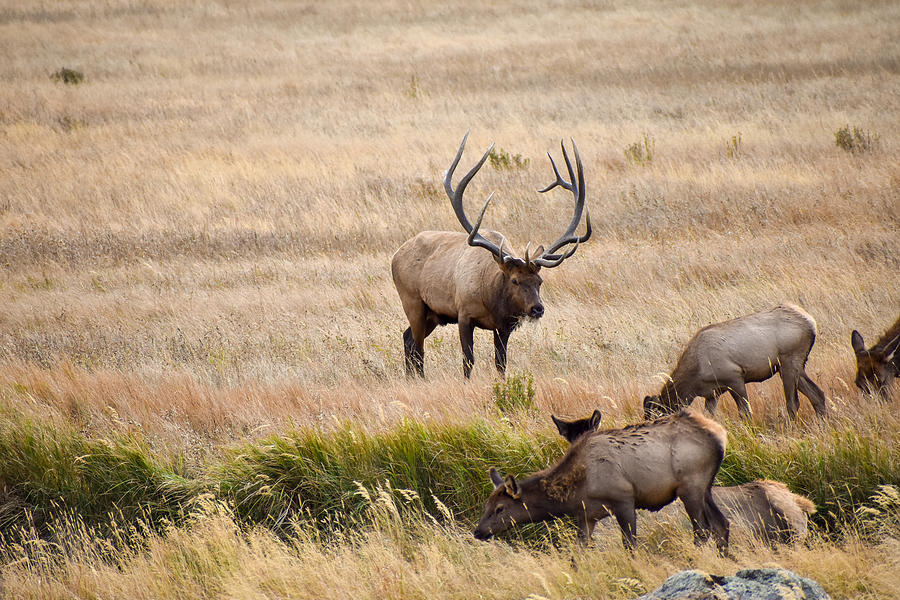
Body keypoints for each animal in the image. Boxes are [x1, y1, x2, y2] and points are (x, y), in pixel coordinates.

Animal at [388, 133, 592, 378]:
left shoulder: (505, 326)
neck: (492, 301)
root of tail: (395, 256)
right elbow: (468, 361)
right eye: (514, 280)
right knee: (418, 349)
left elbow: (501, 363)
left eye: (540, 281)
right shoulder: (463, 314)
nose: (537, 308)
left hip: (432, 315)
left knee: (407, 338)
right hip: (413, 301)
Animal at [474, 410, 728, 552]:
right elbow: (578, 554)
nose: (478, 531)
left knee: (702, 531)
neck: (576, 491)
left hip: (690, 486)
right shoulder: (587, 515)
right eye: (486, 506)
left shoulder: (624, 499)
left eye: (500, 508)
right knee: (721, 525)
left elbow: (630, 546)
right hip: (705, 488)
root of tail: (721, 435)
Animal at [644, 304, 828, 422]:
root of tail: (812, 324)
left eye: (655, 419)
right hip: (793, 366)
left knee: (793, 403)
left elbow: (746, 412)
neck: (694, 378)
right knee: (817, 394)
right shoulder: (712, 394)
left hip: (789, 361)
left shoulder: (734, 378)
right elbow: (709, 417)